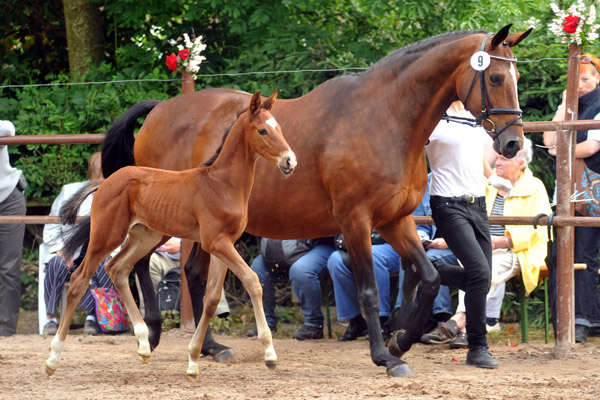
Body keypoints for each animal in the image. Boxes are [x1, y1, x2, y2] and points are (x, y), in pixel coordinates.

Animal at [101, 24, 532, 376]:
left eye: (516, 75)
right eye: (496, 76)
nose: (513, 143)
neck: (387, 119)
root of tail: (160, 109)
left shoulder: (397, 221)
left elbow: (428, 278)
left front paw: (400, 341)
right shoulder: (356, 220)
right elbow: (369, 292)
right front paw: (385, 357)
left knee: (188, 273)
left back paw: (209, 347)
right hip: (164, 222)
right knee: (138, 264)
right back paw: (152, 333)